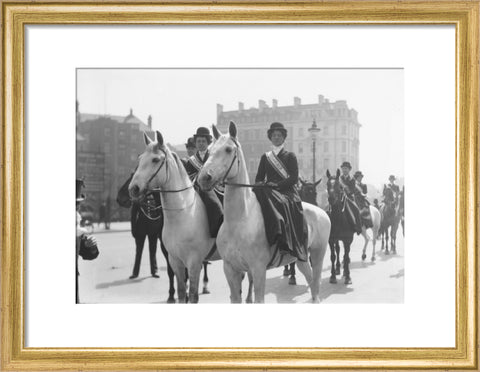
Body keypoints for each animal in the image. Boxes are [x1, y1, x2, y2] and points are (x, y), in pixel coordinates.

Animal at [127, 131, 219, 302]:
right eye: (140, 158)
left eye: (155, 159)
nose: (133, 189)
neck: (182, 214)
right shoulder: (175, 260)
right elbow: (182, 292)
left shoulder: (194, 262)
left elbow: (193, 295)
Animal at [198, 122, 330, 302]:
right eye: (209, 150)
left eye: (228, 149)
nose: (204, 178)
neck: (238, 221)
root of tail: (321, 212)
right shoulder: (230, 269)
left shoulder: (258, 269)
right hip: (301, 257)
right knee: (311, 280)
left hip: (318, 254)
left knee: (315, 284)